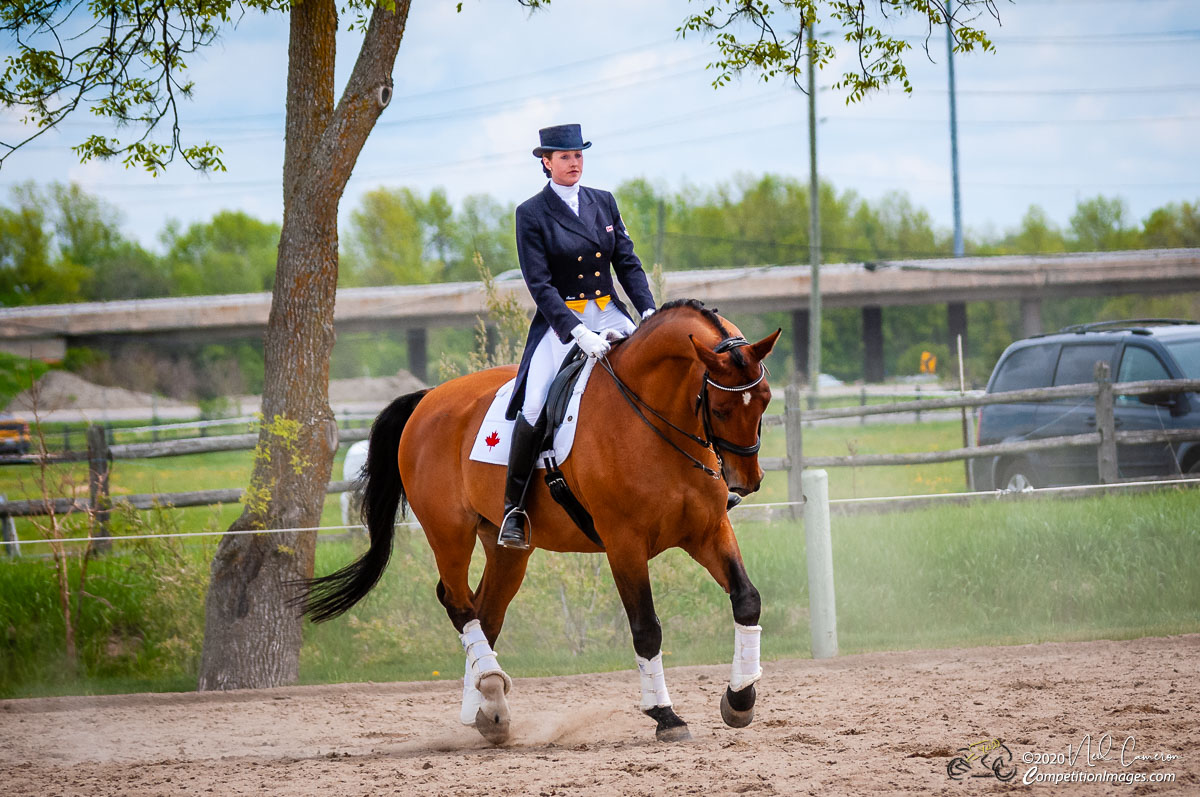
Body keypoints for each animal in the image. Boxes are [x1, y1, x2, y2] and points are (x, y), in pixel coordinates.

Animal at [302, 298, 777, 748]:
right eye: (720, 407)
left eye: (767, 398)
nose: (746, 482)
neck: (653, 416)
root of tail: (430, 397)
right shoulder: (624, 544)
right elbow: (646, 628)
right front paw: (665, 716)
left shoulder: (707, 531)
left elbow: (747, 598)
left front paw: (740, 700)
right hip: (448, 533)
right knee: (457, 602)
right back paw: (491, 691)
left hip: (507, 547)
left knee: (486, 613)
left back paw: (486, 710)